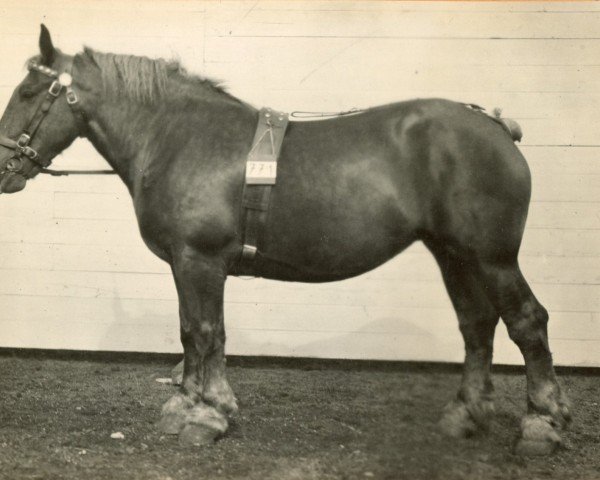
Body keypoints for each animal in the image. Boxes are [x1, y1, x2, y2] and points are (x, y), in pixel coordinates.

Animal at [0, 25, 572, 454]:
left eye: (28, 92)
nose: (4, 166)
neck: (178, 137)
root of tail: (494, 125)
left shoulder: (199, 260)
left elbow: (202, 332)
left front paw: (204, 416)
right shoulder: (195, 265)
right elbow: (199, 333)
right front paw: (197, 405)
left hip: (492, 257)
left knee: (528, 322)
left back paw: (542, 423)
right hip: (454, 255)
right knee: (476, 325)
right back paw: (465, 415)